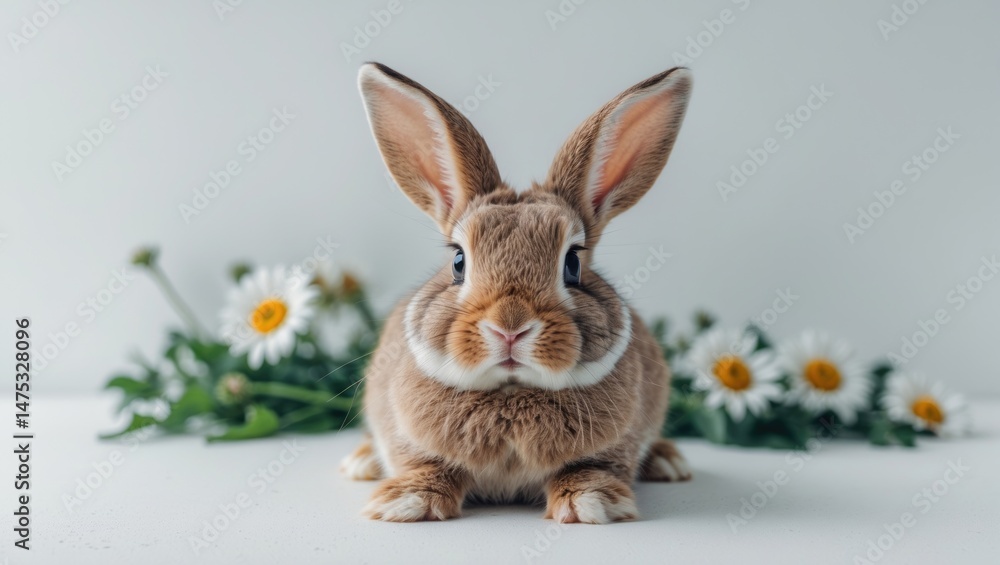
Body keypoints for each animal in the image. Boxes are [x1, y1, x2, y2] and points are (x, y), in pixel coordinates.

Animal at [340, 62, 693, 523]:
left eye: (572, 263)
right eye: (458, 261)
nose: (509, 328)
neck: (510, 393)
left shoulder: (616, 445)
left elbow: (591, 468)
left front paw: (592, 503)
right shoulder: (405, 434)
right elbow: (425, 465)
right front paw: (406, 502)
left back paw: (670, 462)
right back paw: (361, 461)